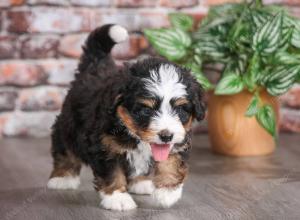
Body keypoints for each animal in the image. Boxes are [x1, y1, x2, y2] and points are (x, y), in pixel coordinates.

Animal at [47, 23, 206, 211]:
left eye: (180, 110)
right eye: (146, 110)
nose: (166, 136)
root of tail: (94, 68)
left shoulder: (179, 139)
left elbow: (172, 161)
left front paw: (167, 192)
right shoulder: (105, 146)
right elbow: (113, 172)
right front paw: (118, 198)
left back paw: (141, 183)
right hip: (68, 125)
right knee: (65, 150)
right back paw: (63, 177)